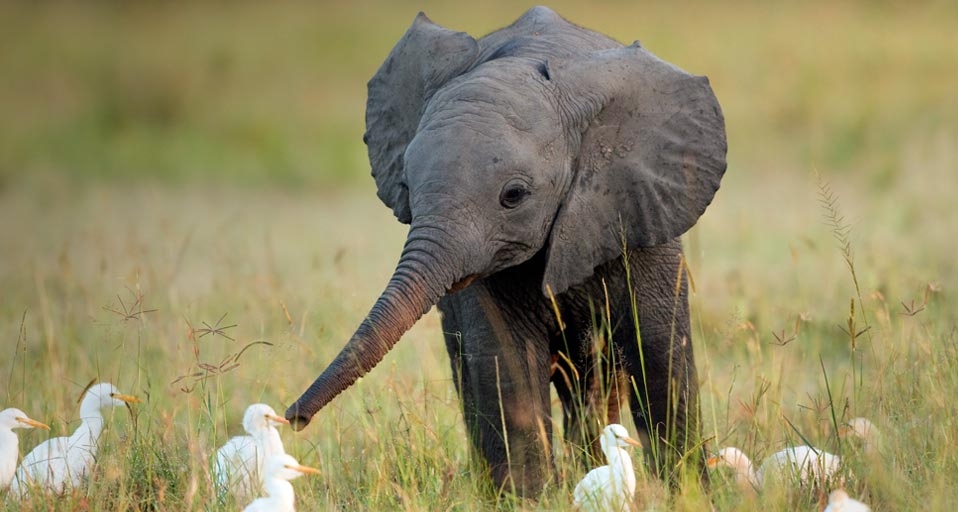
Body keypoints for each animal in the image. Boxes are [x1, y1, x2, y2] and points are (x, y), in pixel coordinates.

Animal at [286, 6, 727, 497]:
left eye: (513, 196)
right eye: (406, 187)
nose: (293, 419)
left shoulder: (640, 209)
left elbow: (659, 351)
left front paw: (690, 493)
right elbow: (505, 362)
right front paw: (529, 499)